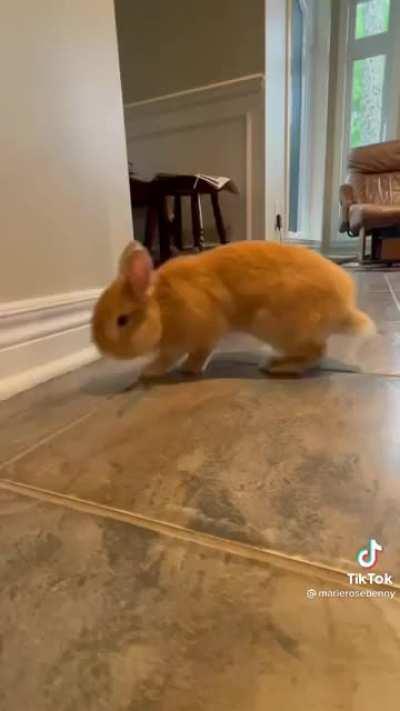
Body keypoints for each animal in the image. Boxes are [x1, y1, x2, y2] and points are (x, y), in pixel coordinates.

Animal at [92, 240, 375, 377]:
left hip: (275, 325)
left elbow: (179, 357)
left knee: (317, 352)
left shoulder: (195, 335)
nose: (103, 349)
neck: (161, 308)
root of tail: (345, 308)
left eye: (122, 320)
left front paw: (156, 371)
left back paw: (278, 366)